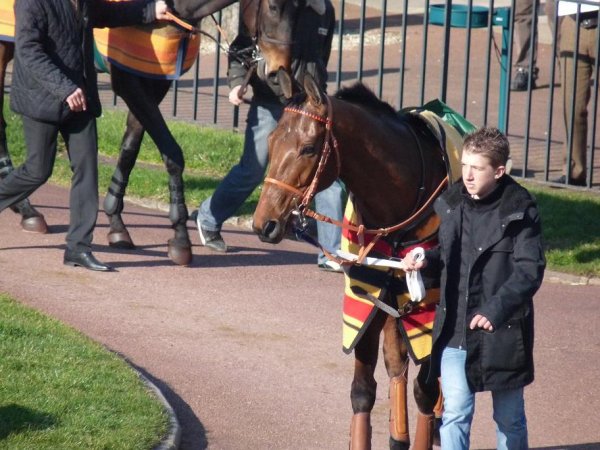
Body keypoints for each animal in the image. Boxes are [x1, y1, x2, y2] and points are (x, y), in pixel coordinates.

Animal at [251, 72, 462, 448]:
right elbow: (363, 392)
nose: (265, 223)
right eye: (272, 142)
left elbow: (424, 391)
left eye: (308, 148)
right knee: (396, 365)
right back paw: (398, 435)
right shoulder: (369, 300)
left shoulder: (431, 311)